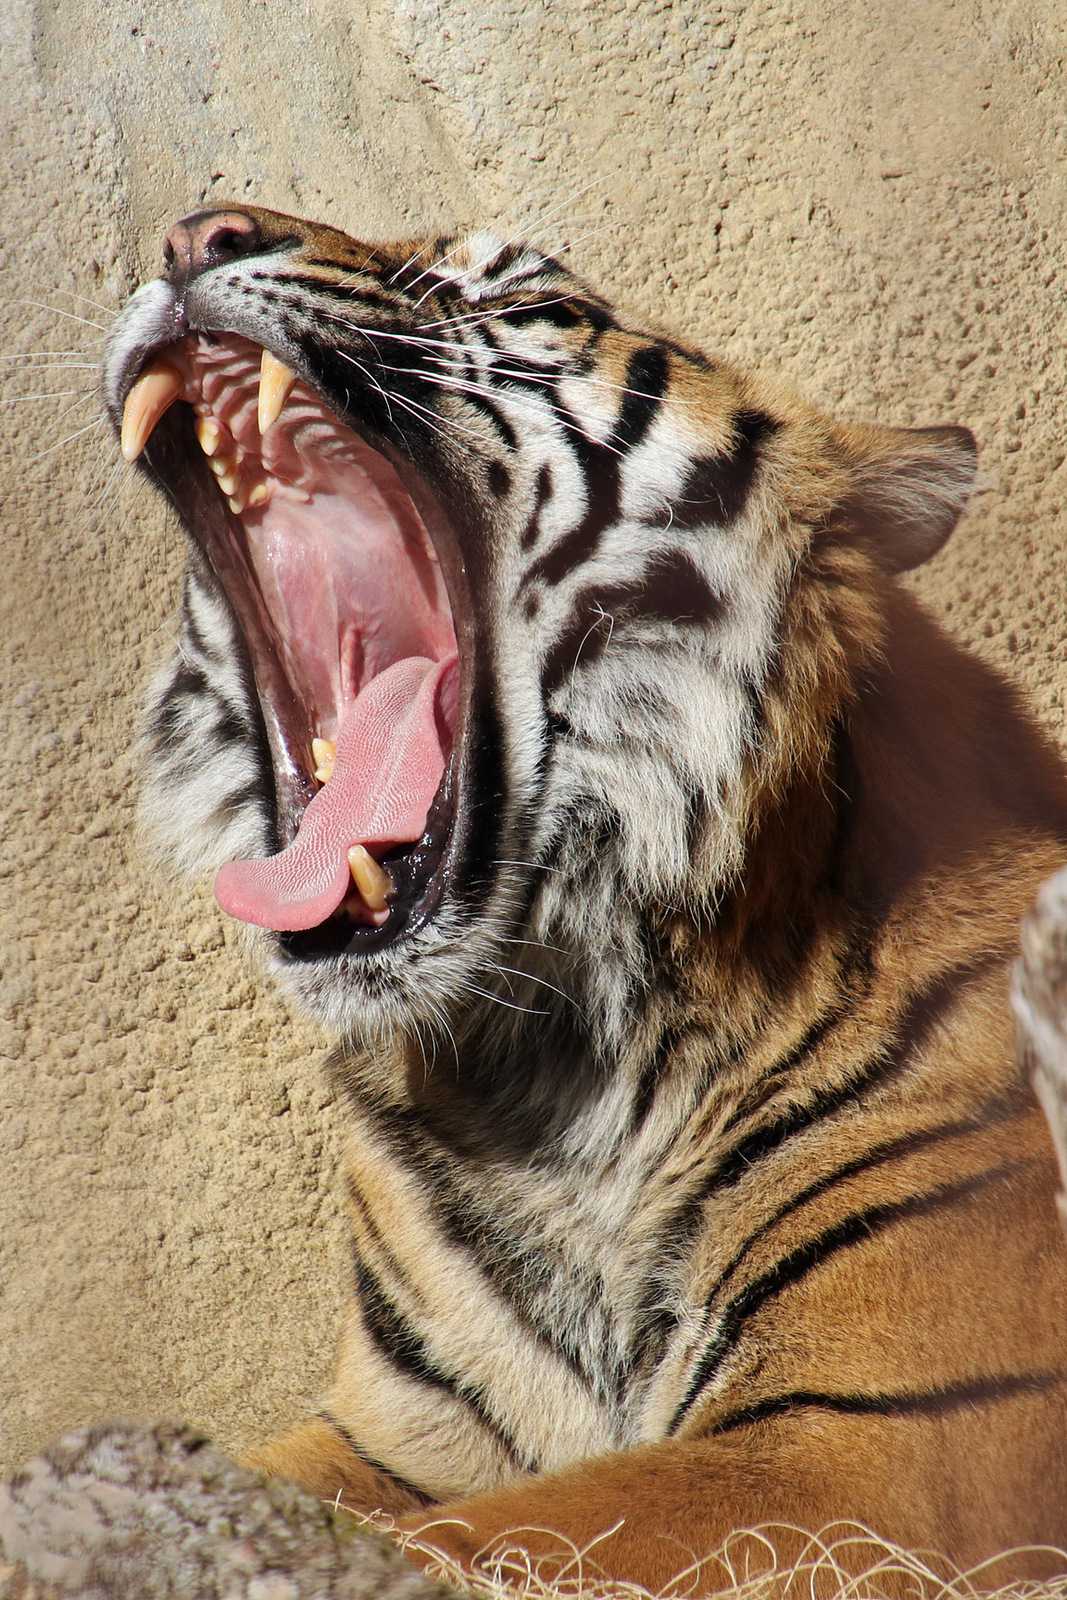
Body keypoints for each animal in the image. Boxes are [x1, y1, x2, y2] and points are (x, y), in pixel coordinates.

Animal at [103, 204, 1067, 1591]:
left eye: (515, 293)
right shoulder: (385, 1433)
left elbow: (466, 1547)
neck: (547, 1085)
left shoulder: (851, 1451)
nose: (192, 233)